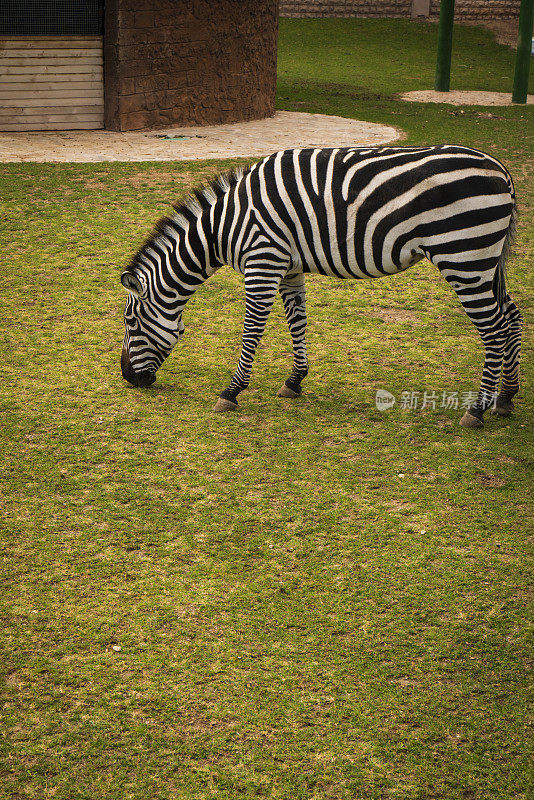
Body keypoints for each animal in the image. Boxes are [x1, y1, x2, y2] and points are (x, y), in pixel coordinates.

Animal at [120, 146, 524, 428]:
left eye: (130, 322)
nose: (128, 378)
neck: (224, 225)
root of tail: (501, 170)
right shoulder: (289, 266)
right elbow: (296, 322)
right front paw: (295, 381)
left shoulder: (262, 262)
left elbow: (252, 330)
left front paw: (231, 391)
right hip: (485, 260)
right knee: (512, 316)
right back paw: (506, 398)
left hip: (463, 256)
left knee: (493, 329)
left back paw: (477, 409)